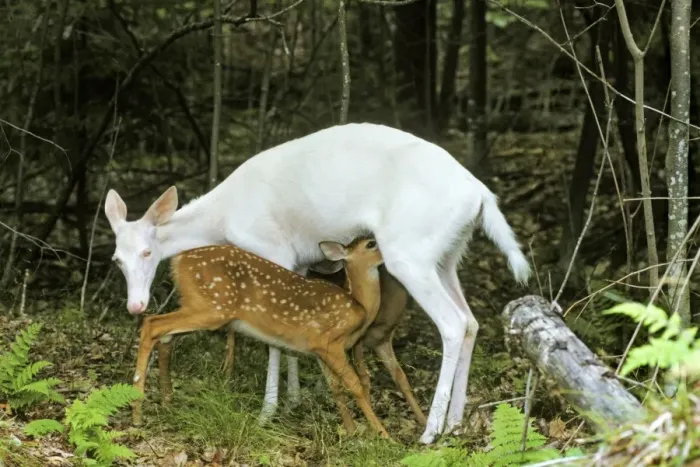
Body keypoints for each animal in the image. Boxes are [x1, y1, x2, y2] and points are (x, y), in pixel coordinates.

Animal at [131, 238, 391, 438]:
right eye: (371, 243)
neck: (359, 305)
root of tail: (178, 260)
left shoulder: (319, 351)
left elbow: (336, 387)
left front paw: (351, 431)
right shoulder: (327, 342)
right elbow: (356, 385)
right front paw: (382, 435)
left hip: (201, 307)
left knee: (165, 336)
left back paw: (166, 403)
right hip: (212, 308)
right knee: (152, 324)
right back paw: (137, 413)